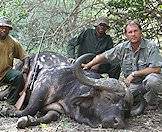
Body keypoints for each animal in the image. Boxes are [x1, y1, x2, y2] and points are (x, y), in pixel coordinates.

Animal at [0, 51, 145, 129]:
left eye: (125, 108)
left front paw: (27, 121)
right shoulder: (41, 88)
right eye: (108, 98)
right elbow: (30, 109)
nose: (118, 123)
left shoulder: (55, 110)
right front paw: (8, 111)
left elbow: (51, 116)